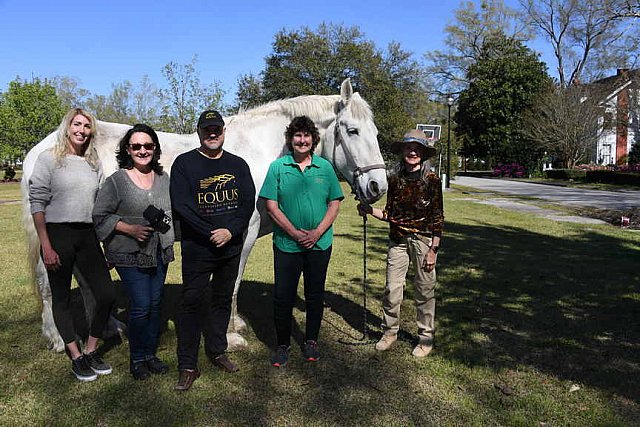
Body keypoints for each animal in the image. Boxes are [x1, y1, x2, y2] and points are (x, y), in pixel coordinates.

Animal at [22, 78, 388, 352]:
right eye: (352, 131)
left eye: (376, 133)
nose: (378, 186)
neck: (258, 153)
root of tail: (43, 147)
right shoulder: (243, 233)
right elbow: (232, 283)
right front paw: (229, 334)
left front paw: (234, 323)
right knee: (46, 284)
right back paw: (57, 339)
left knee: (86, 281)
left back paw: (111, 327)